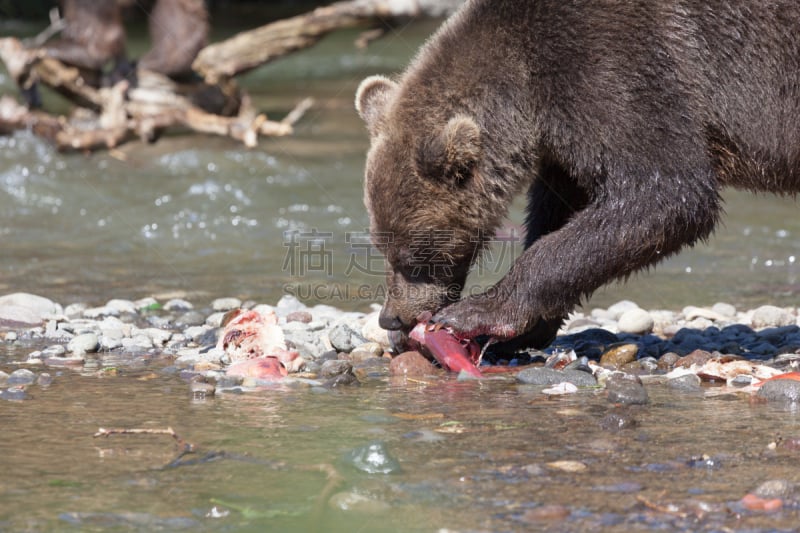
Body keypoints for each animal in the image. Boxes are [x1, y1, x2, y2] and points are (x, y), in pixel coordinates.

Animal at [356, 0, 800, 348]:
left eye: (415, 256)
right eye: (381, 246)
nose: (391, 318)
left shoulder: (615, 64)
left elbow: (666, 195)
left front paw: (478, 312)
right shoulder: (565, 129)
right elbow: (563, 204)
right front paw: (530, 327)